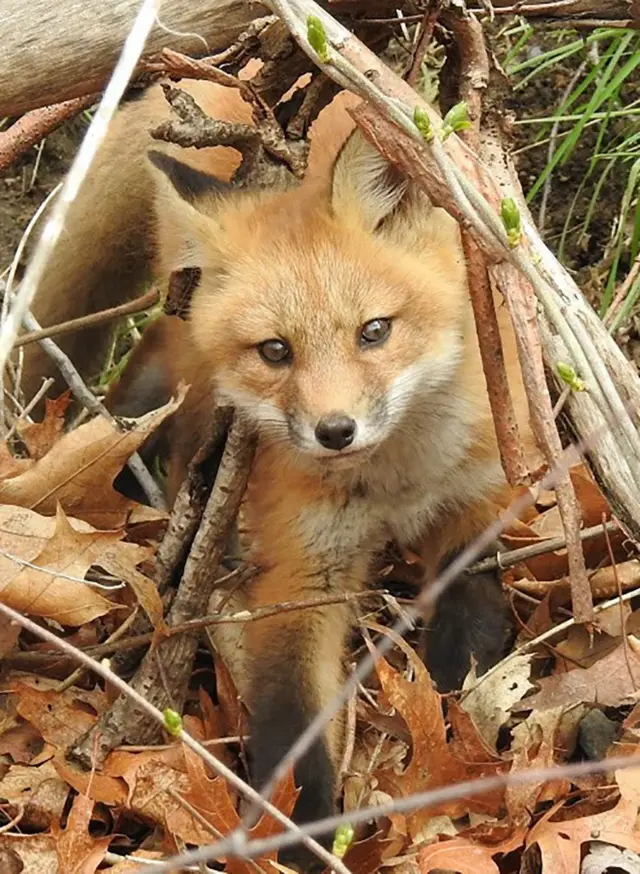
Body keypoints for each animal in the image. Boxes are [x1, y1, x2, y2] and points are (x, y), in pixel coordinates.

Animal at [19, 72, 538, 869]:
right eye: (275, 351)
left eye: (374, 331)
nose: (335, 431)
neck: (395, 480)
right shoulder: (301, 574)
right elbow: (292, 721)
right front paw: (302, 832)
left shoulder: (481, 499)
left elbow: (471, 627)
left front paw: (462, 723)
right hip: (188, 350)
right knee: (155, 378)